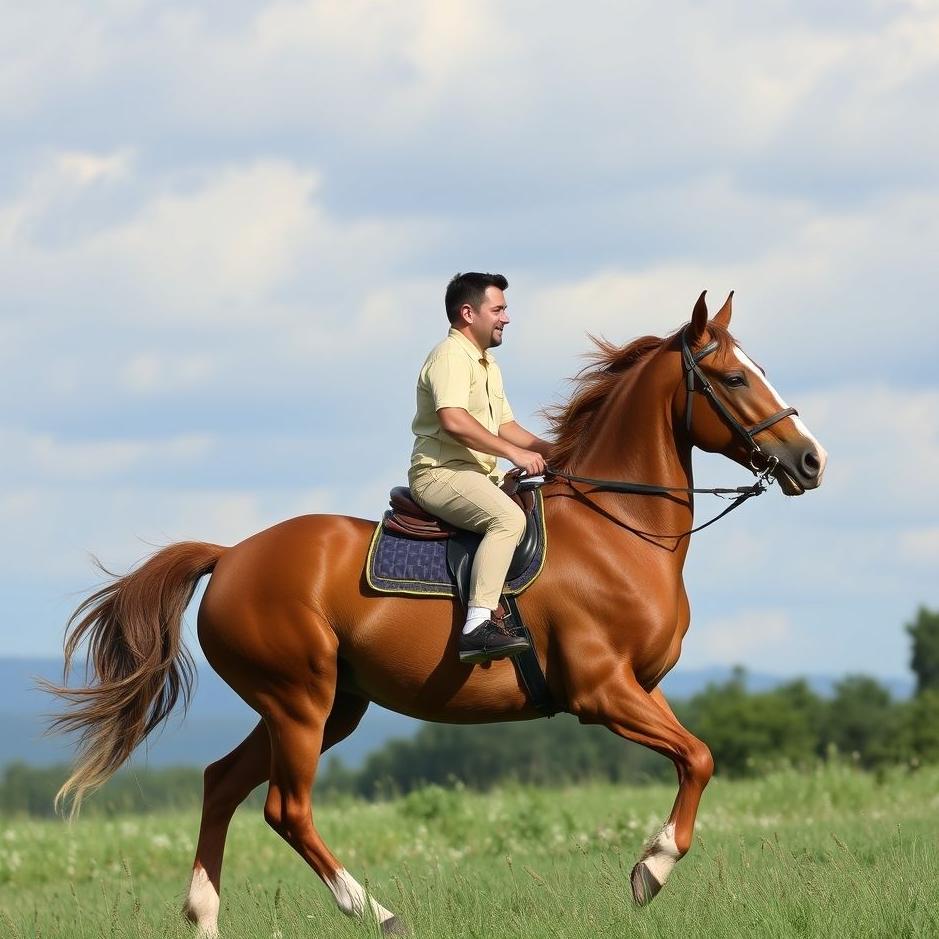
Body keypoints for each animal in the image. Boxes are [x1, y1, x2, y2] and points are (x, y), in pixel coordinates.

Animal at [46, 291, 827, 937]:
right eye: (733, 379)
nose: (810, 460)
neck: (617, 528)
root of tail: (231, 554)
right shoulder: (601, 691)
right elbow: (699, 756)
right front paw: (651, 869)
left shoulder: (642, 686)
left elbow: (696, 757)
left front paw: (649, 866)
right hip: (300, 701)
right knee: (285, 809)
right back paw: (378, 912)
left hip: (328, 707)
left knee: (221, 783)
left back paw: (207, 919)